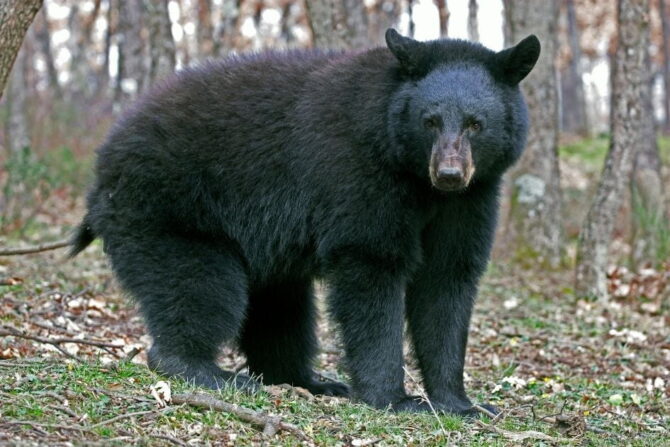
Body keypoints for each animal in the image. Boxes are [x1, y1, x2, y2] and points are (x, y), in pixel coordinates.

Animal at [71, 28, 540, 416]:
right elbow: (371, 268)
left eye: (476, 124)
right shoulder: (361, 177)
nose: (449, 173)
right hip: (168, 210)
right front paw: (394, 399)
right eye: (430, 121)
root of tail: (102, 167)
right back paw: (211, 372)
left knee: (281, 310)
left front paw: (460, 403)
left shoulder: (471, 201)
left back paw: (309, 381)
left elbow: (447, 283)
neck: (416, 180)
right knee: (199, 287)